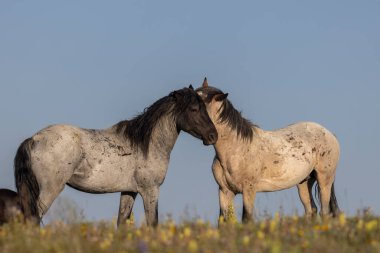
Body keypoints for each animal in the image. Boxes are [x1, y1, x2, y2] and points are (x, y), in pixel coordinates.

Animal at [14, 85, 217, 225]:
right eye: (193, 109)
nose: (213, 136)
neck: (145, 144)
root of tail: (34, 138)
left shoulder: (129, 191)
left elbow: (122, 223)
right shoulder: (150, 191)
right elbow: (153, 224)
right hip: (49, 191)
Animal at [197, 79, 340, 223]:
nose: (209, 138)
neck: (235, 150)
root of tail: (330, 134)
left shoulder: (249, 190)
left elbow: (247, 219)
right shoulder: (224, 191)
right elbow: (223, 221)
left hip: (324, 179)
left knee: (324, 212)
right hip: (304, 183)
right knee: (312, 210)